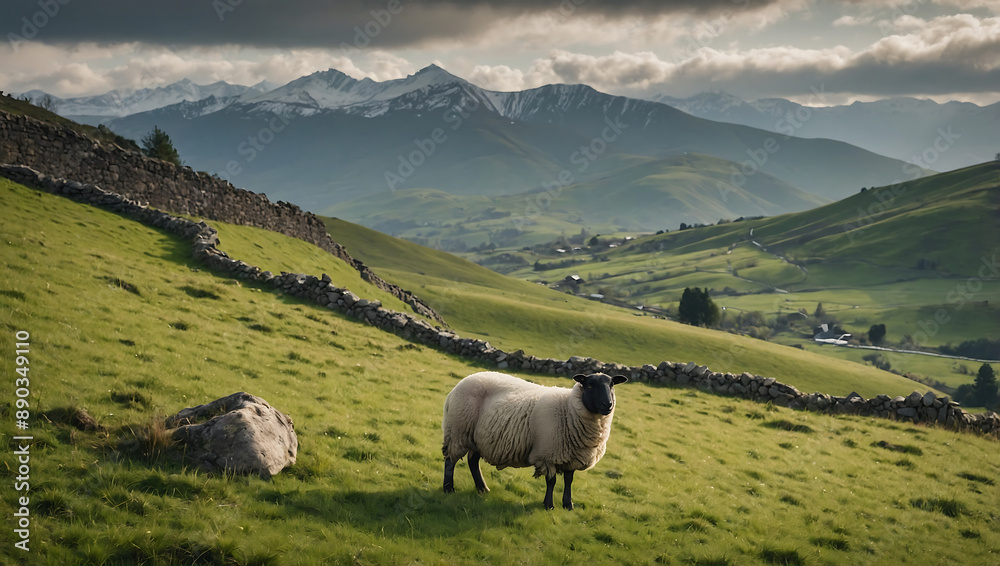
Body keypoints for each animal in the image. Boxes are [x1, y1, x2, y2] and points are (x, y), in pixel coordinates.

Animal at [442, 371, 627, 510]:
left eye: (612, 385)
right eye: (590, 386)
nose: (608, 404)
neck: (568, 409)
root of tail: (460, 384)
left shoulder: (572, 456)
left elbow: (569, 481)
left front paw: (568, 505)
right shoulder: (548, 454)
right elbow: (551, 481)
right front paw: (549, 505)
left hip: (477, 438)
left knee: (472, 461)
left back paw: (483, 489)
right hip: (457, 431)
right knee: (450, 460)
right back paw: (448, 488)